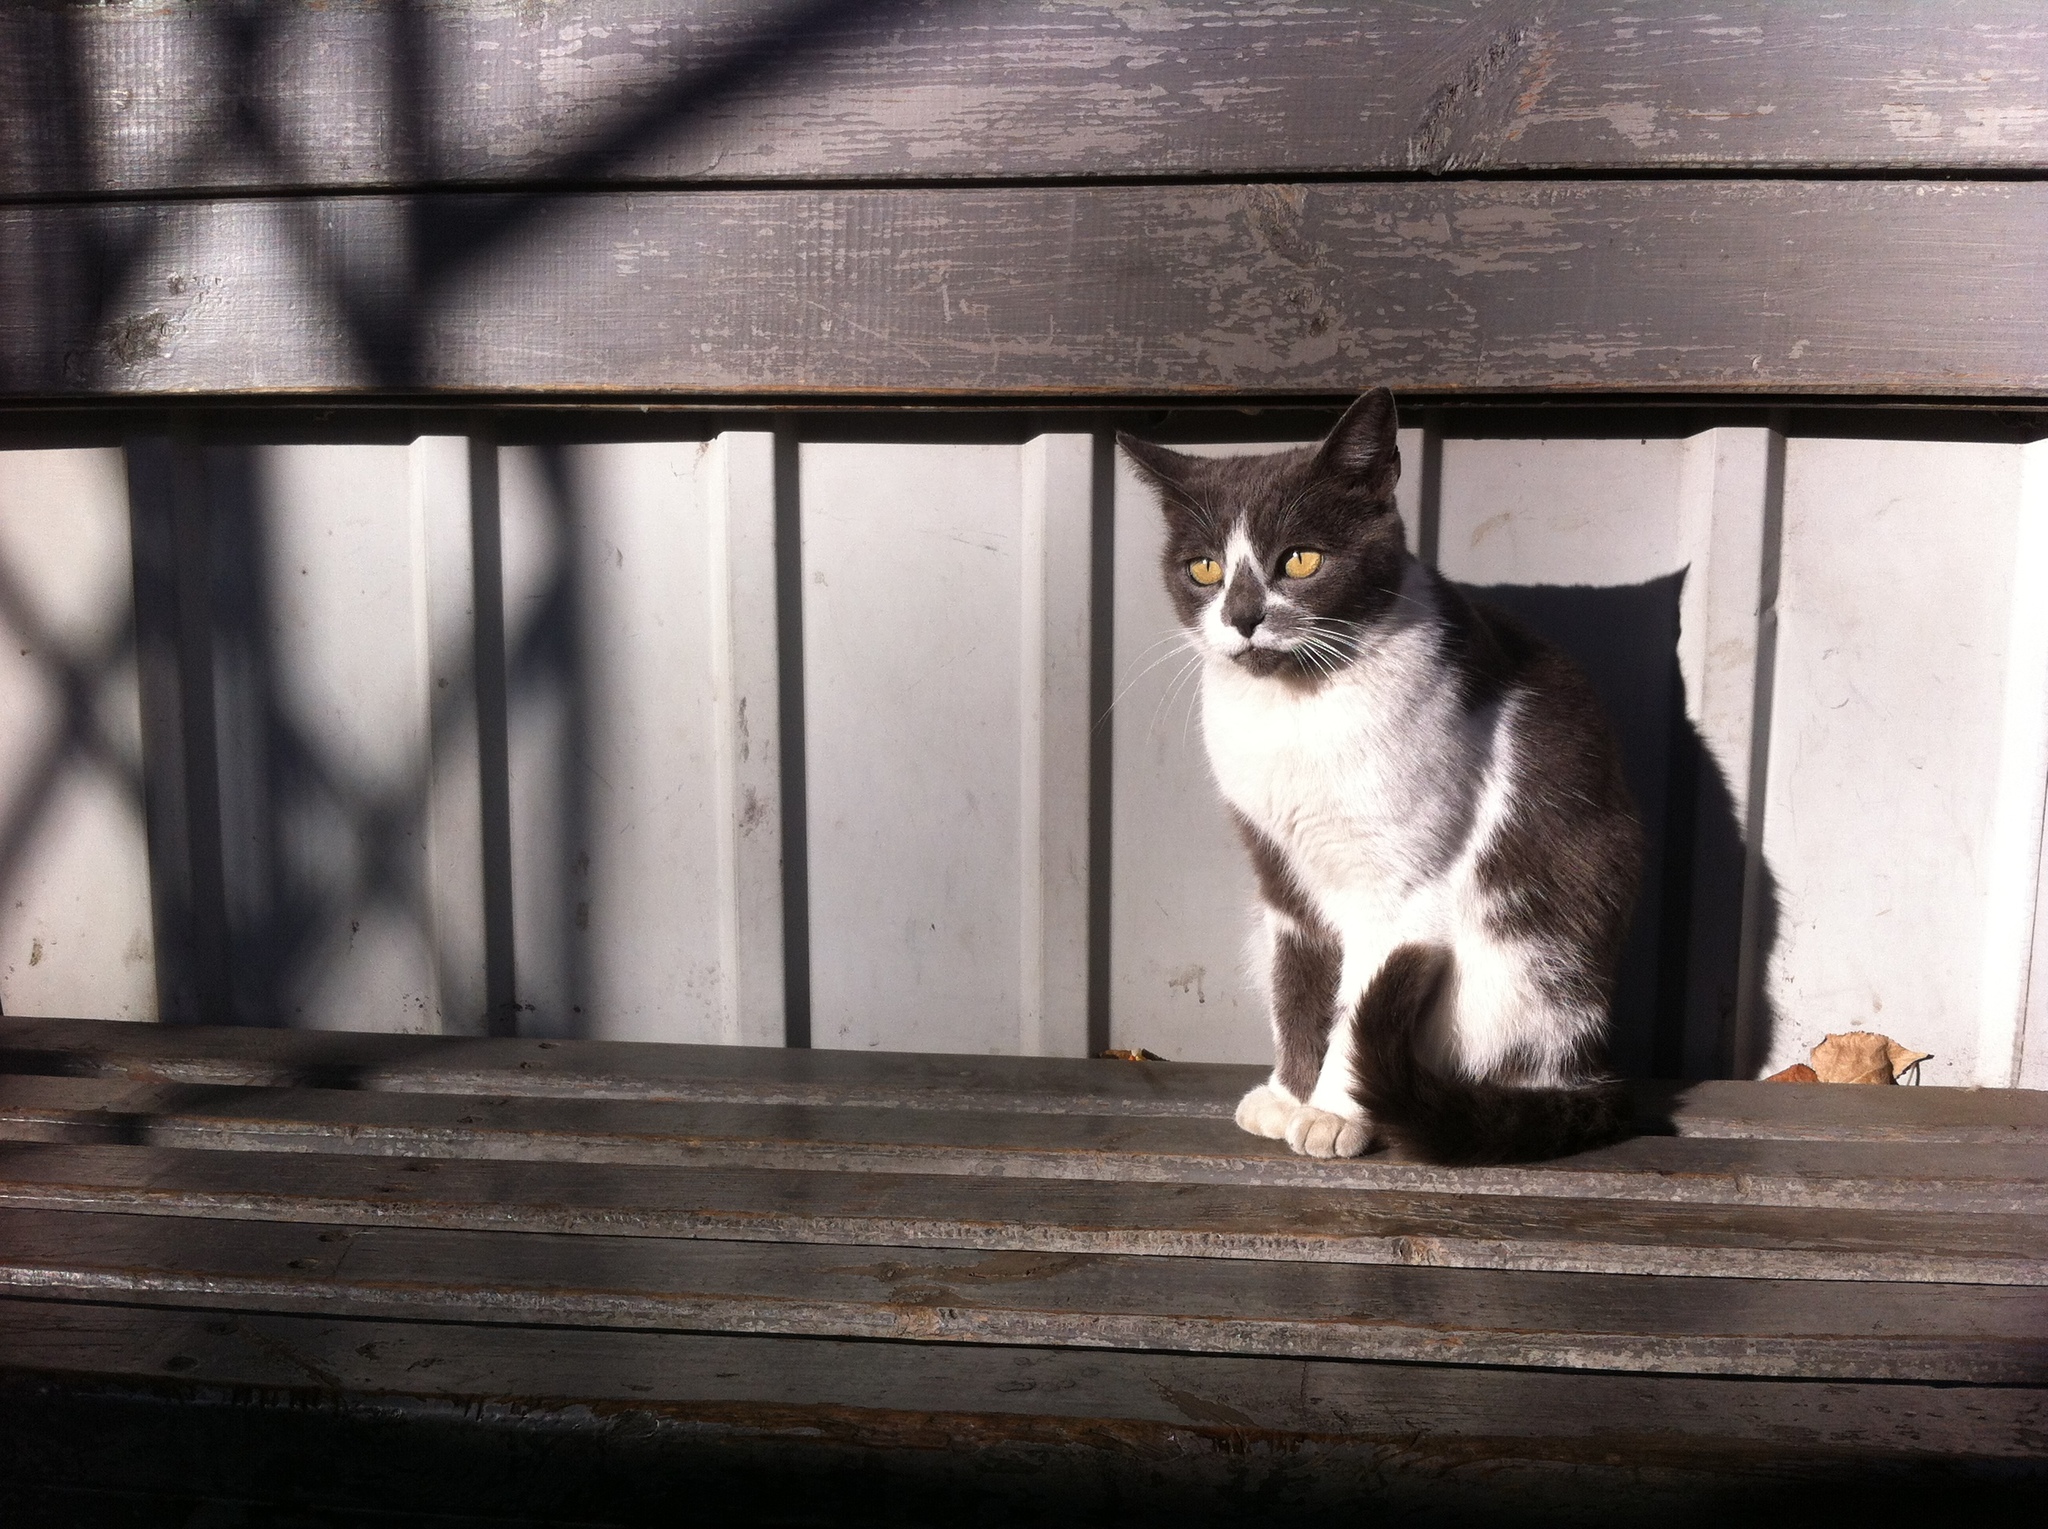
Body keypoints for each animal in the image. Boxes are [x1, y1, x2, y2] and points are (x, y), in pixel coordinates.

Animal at [1122, 388, 1646, 1162]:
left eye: (1301, 560)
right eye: (1205, 569)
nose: (1244, 617)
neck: (1295, 711)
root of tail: (1593, 1070)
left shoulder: (1401, 887)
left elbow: (1359, 1002)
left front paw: (1334, 1112)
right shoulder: (1281, 876)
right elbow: (1299, 985)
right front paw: (1290, 1094)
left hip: (1527, 964)